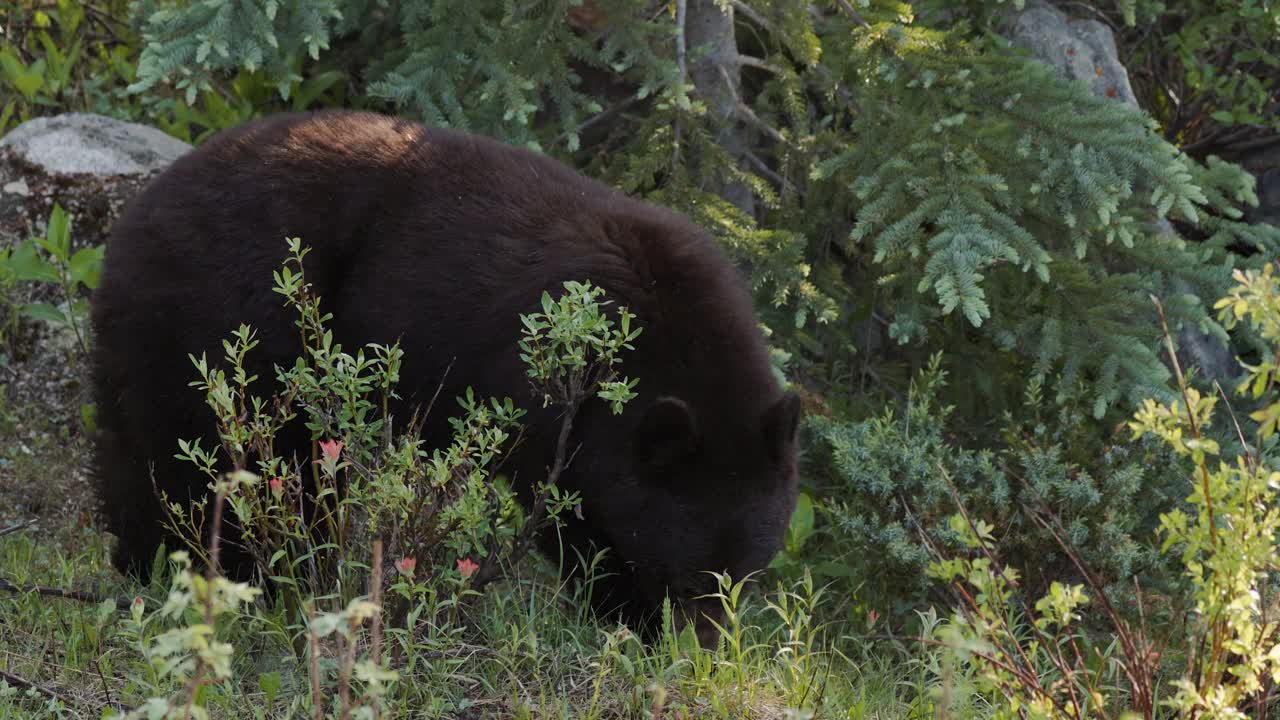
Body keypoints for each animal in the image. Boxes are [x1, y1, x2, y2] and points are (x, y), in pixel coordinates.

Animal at [92, 110, 798, 638]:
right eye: (689, 576)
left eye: (746, 574)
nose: (704, 649)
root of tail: (133, 220)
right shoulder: (548, 399)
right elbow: (571, 511)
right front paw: (626, 610)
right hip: (228, 312)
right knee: (208, 450)